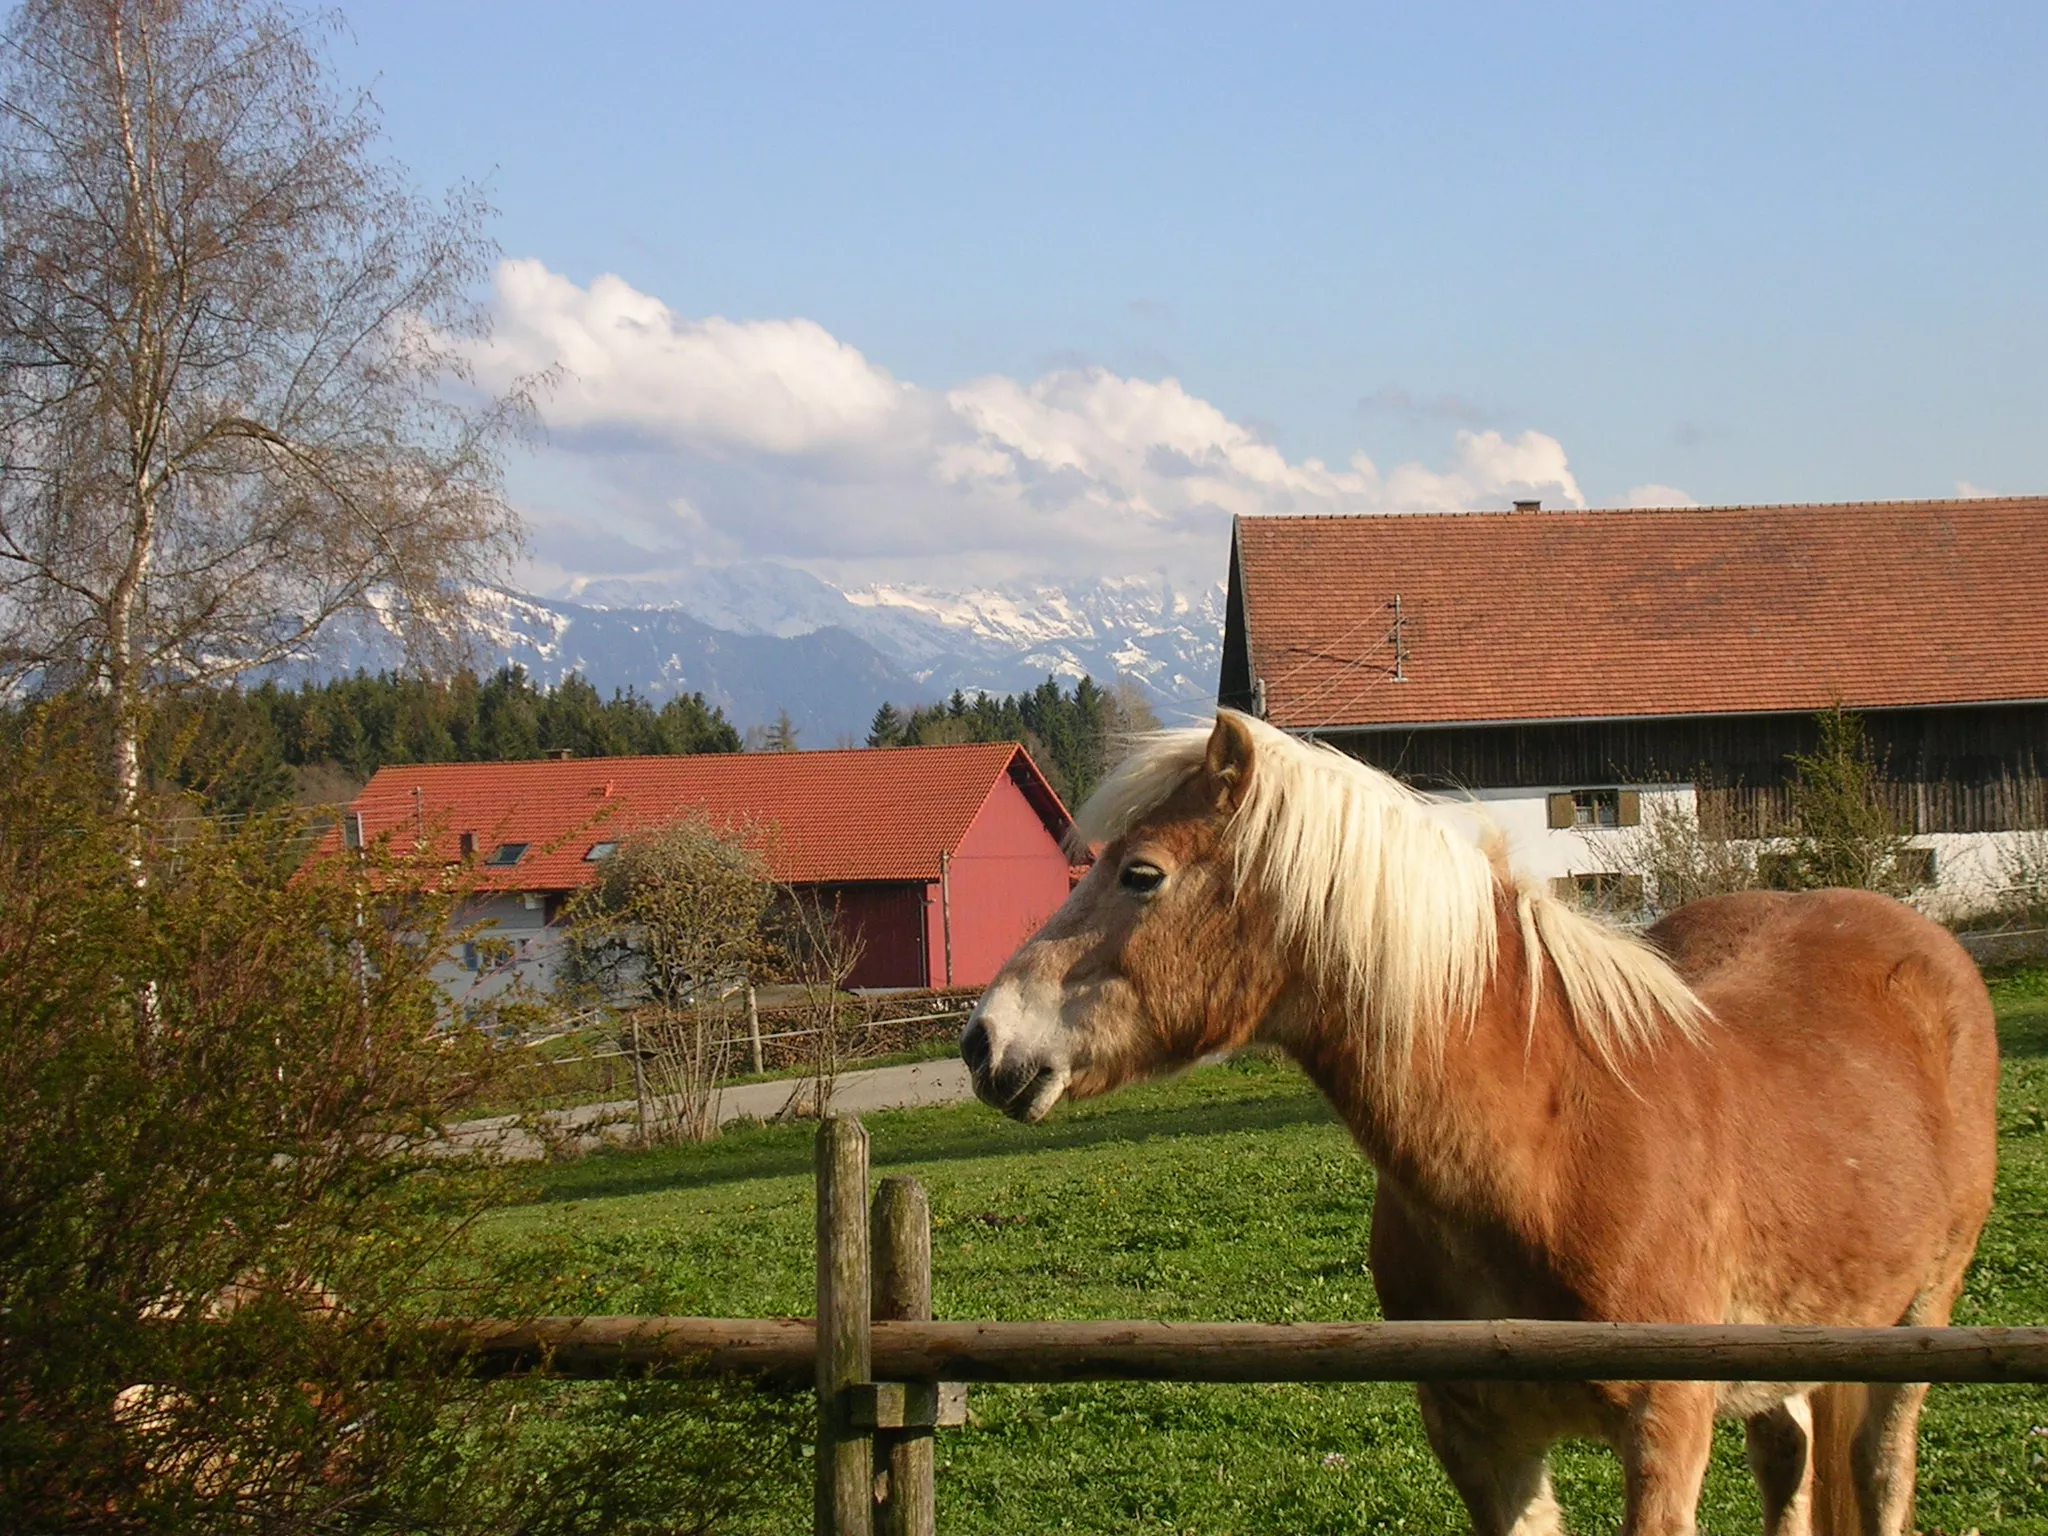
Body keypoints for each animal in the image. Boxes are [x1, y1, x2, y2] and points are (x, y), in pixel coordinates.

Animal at [962, 716, 1998, 1536]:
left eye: (1142, 874)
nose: (983, 1041)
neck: (1556, 1152)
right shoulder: (1481, 1443)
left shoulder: (1665, 1432)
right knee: (1790, 1461)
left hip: (1916, 1324)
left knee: (1881, 1470)